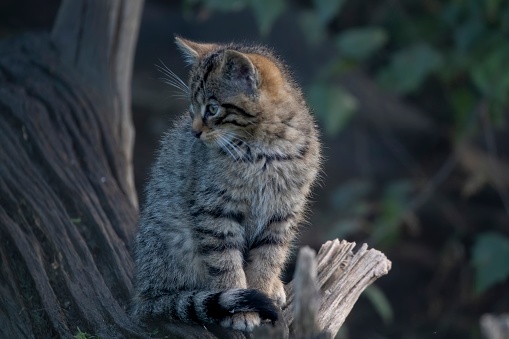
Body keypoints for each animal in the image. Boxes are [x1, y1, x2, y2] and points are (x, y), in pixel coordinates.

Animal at [133, 37, 320, 332]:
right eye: (191, 108)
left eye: (212, 108)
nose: (195, 131)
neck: (264, 151)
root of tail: (143, 294)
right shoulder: (215, 211)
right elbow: (225, 263)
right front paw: (242, 309)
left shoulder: (283, 213)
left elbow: (268, 258)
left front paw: (262, 291)